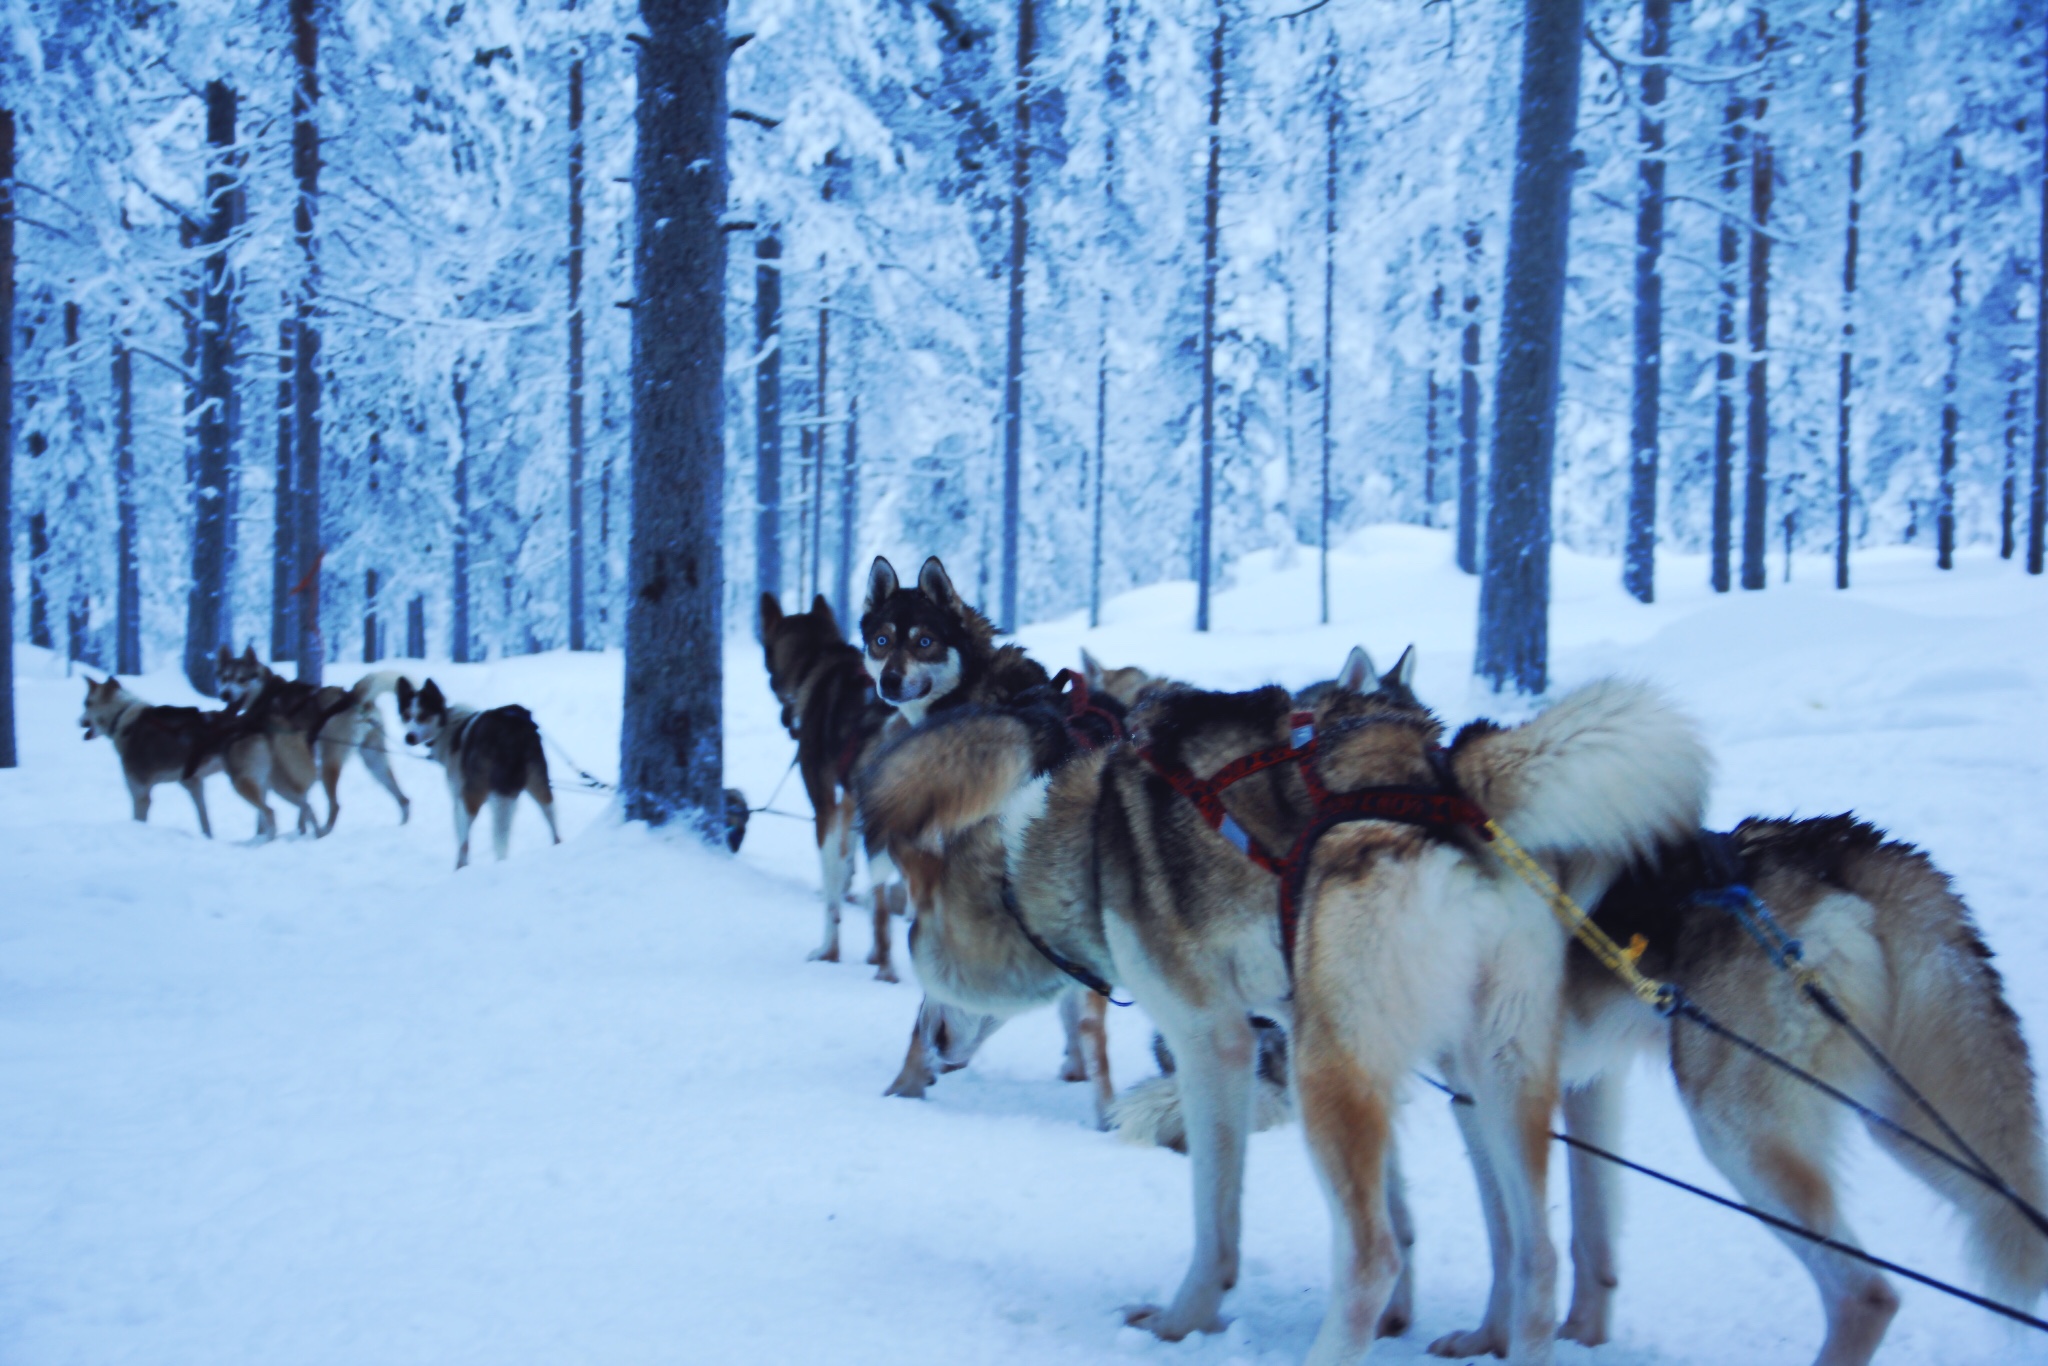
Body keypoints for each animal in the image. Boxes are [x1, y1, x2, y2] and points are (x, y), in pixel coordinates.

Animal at [82, 675, 319, 839]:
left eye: (87, 703)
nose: (79, 721)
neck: (123, 717)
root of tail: (257, 721)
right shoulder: (193, 784)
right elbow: (204, 820)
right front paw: (208, 838)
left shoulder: (140, 792)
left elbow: (138, 819)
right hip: (276, 784)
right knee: (306, 806)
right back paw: (316, 835)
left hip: (244, 783)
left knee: (270, 812)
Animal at [212, 651, 411, 839]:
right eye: (225, 678)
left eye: (241, 679)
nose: (225, 694)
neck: (266, 693)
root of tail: (352, 697)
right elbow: (300, 799)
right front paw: (298, 828)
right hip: (374, 761)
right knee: (403, 798)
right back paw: (402, 824)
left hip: (330, 763)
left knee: (335, 805)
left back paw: (324, 832)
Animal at [393, 679, 561, 872]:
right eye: (406, 716)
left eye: (422, 715)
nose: (409, 737)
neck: (448, 726)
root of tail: (512, 732)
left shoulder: (459, 799)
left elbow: (462, 839)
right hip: (537, 783)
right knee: (551, 817)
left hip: (474, 796)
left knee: (468, 842)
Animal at [761, 593, 905, 978]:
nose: (785, 719)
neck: (820, 662)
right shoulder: (849, 805)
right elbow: (848, 866)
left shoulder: (826, 807)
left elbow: (834, 887)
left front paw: (831, 950)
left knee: (878, 908)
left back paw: (870, 962)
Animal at [856, 647, 1703, 1359]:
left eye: (921, 960)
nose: (928, 1043)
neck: (1079, 843)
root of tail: (1441, 782)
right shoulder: (1311, 1039)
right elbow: (1402, 1206)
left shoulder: (1213, 1041)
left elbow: (1217, 1219)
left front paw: (1183, 1320)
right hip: (1484, 1070)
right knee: (1536, 1257)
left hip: (1336, 1072)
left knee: (1369, 1257)